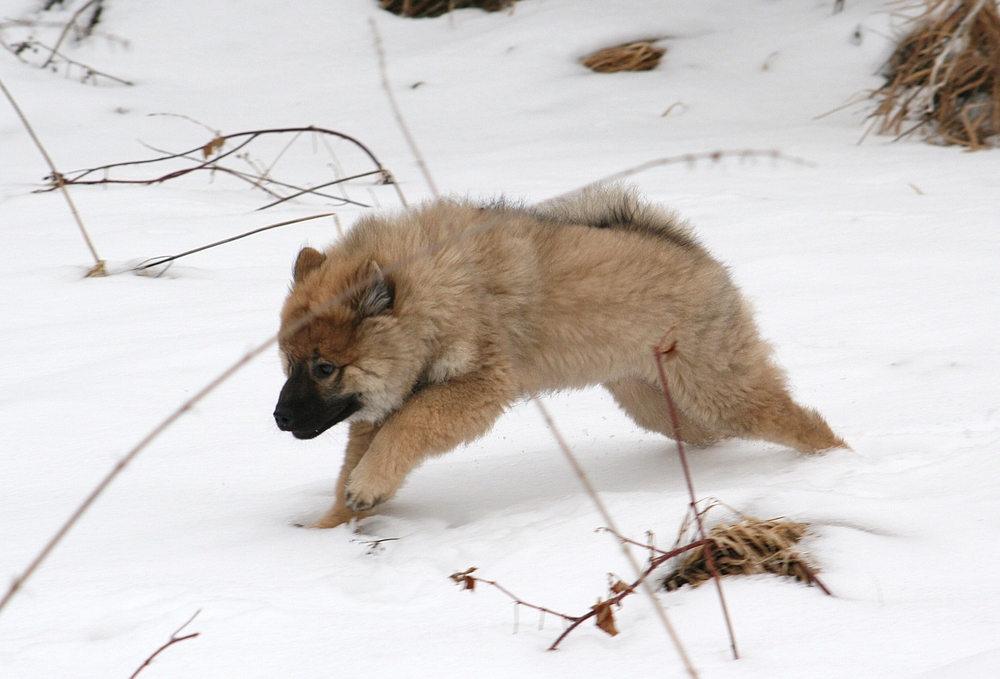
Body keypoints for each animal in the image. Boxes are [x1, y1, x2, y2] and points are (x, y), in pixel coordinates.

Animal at [276, 187, 844, 532]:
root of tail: (692, 251)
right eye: (287, 363)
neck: (434, 295)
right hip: (664, 405)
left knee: (799, 420)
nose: (279, 418)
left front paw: (365, 488)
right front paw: (326, 528)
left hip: (719, 389)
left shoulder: (477, 388)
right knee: (716, 433)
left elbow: (407, 428)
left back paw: (839, 466)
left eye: (325, 367)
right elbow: (360, 459)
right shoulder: (381, 408)